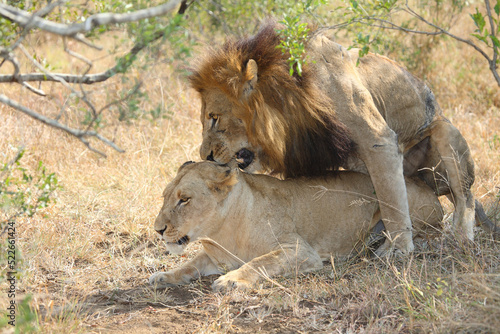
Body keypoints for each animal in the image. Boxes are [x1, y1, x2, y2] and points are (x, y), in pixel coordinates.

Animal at [149, 160, 442, 290]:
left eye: (184, 200)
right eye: (164, 196)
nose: (158, 229)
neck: (222, 234)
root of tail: (428, 186)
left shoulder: (301, 251)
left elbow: (259, 261)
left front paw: (232, 280)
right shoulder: (215, 256)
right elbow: (190, 263)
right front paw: (165, 276)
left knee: (426, 234)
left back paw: (382, 247)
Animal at [190, 22, 476, 253]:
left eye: (214, 118)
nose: (205, 156)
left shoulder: (379, 140)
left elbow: (392, 200)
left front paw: (399, 248)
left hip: (444, 133)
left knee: (466, 199)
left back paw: (462, 237)